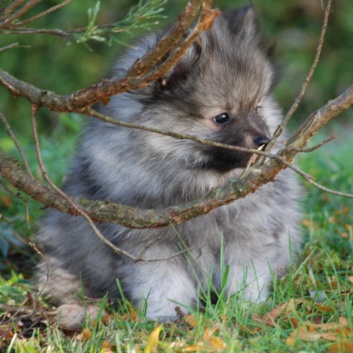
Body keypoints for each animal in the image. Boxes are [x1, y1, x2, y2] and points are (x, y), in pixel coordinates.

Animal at [35, 6, 300, 320]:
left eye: (257, 107)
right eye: (222, 117)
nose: (264, 141)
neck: (201, 186)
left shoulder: (248, 234)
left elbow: (246, 276)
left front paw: (245, 309)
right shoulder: (149, 246)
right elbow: (163, 284)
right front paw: (168, 317)